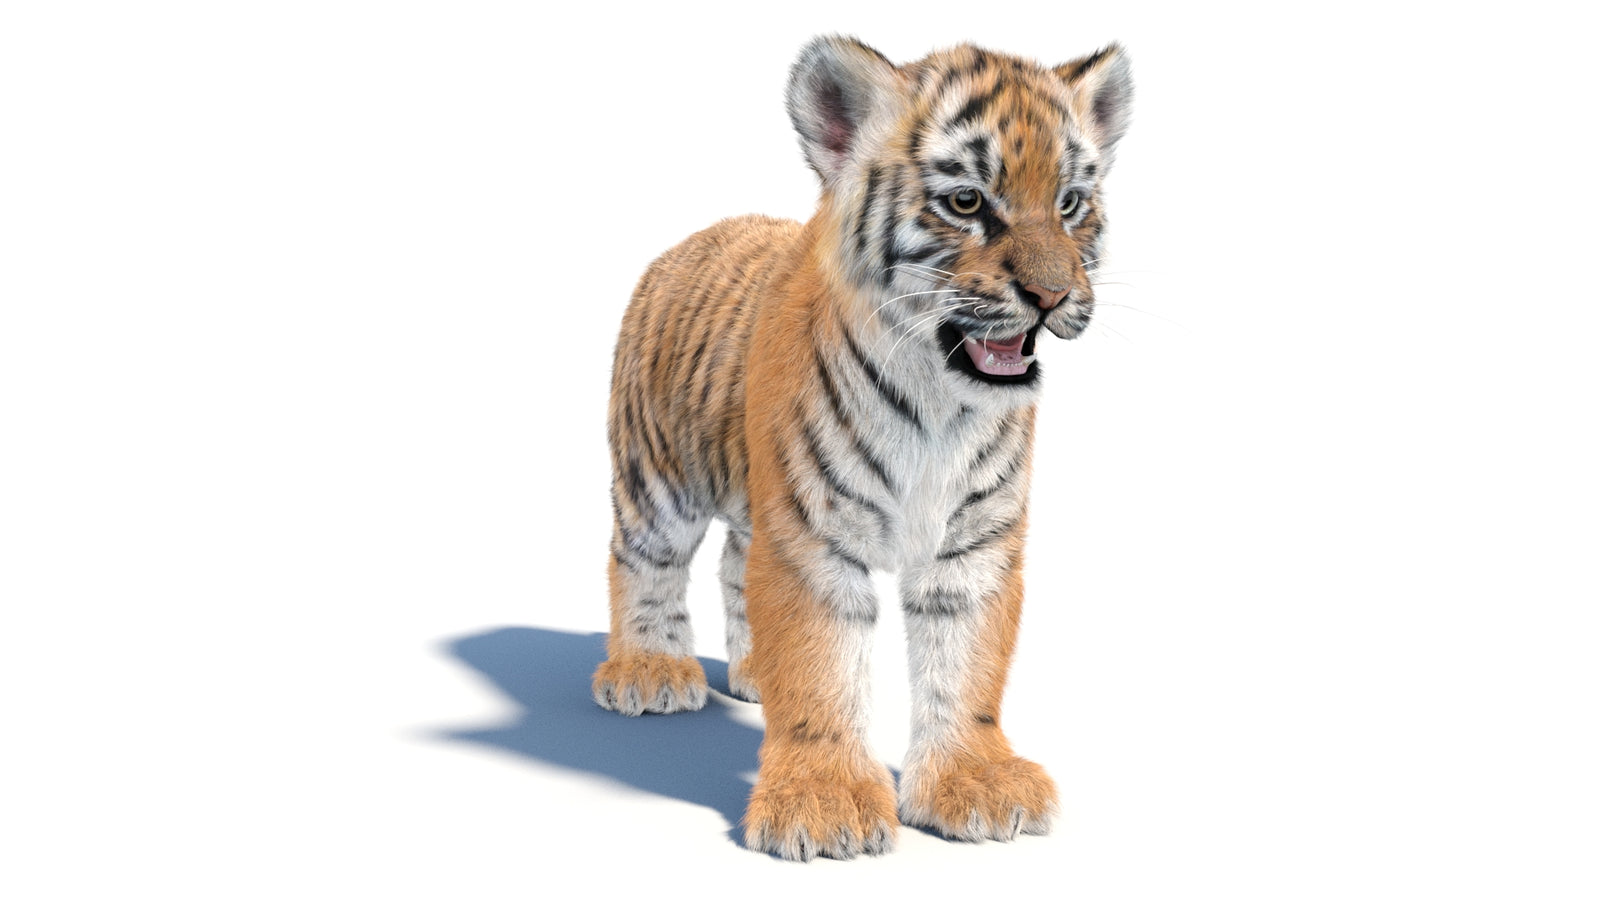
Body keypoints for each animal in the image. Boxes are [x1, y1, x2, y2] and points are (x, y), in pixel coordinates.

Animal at [591, 35, 1133, 861]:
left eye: (1070, 202)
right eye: (967, 202)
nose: (1052, 297)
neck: (942, 402)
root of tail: (694, 236)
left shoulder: (973, 546)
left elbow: (965, 665)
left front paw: (975, 783)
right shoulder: (810, 538)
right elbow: (820, 662)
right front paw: (824, 806)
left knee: (733, 564)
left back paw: (753, 673)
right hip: (659, 477)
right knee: (642, 561)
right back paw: (649, 671)